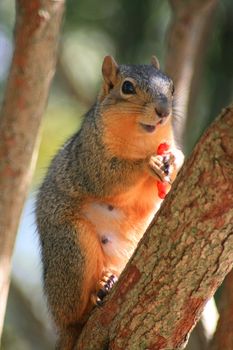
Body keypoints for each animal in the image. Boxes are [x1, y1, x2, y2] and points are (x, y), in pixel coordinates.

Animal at [35, 56, 184, 348]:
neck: (141, 138)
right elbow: (110, 178)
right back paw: (94, 296)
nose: (163, 111)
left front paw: (174, 158)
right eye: (127, 87)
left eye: (171, 87)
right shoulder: (90, 159)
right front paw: (147, 163)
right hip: (73, 246)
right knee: (72, 315)